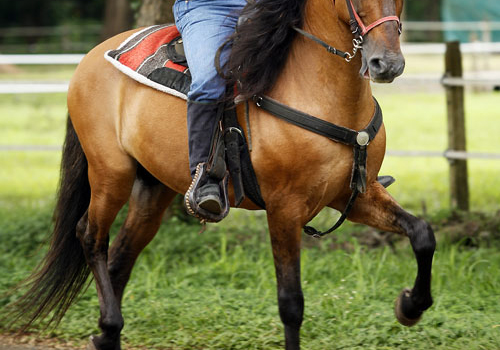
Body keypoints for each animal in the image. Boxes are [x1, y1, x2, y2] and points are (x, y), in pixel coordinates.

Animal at [10, 0, 434, 350]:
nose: (387, 64)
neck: (318, 92)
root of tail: (92, 58)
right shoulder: (285, 208)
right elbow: (291, 302)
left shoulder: (356, 196)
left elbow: (422, 233)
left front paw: (411, 305)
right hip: (110, 173)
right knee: (90, 236)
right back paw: (111, 325)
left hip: (153, 189)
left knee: (121, 254)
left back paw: (106, 336)